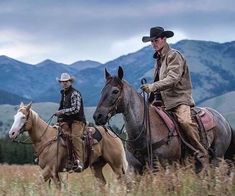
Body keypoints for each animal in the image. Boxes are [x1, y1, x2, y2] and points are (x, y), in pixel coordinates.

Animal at [93, 67, 235, 173]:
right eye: (101, 91)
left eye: (115, 91)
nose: (97, 116)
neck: (144, 131)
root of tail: (224, 121)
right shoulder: (135, 168)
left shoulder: (166, 166)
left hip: (217, 158)